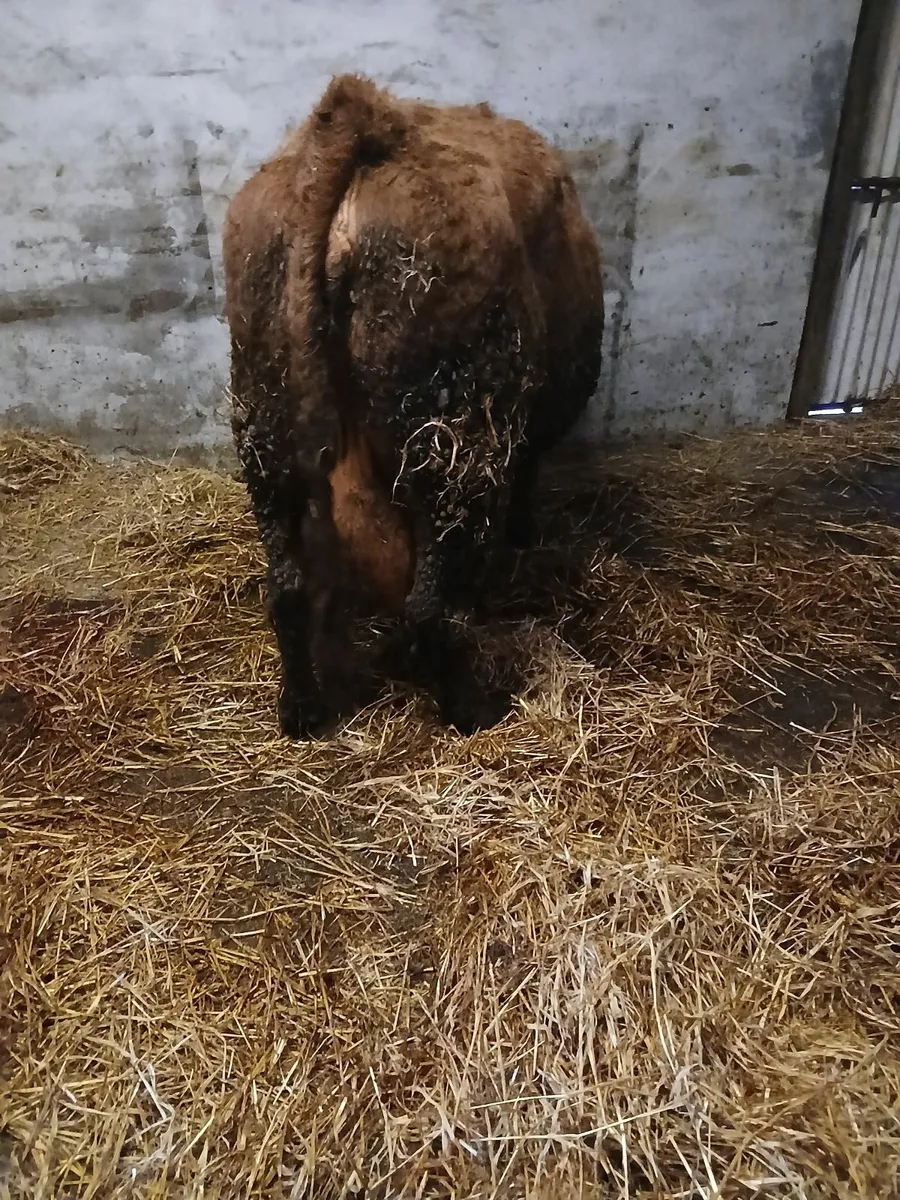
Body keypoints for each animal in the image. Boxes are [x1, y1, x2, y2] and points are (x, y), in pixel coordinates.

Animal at [222, 74, 604, 739]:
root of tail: (366, 121)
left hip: (264, 424)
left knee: (288, 588)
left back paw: (301, 708)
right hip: (450, 440)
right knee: (429, 607)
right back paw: (471, 707)